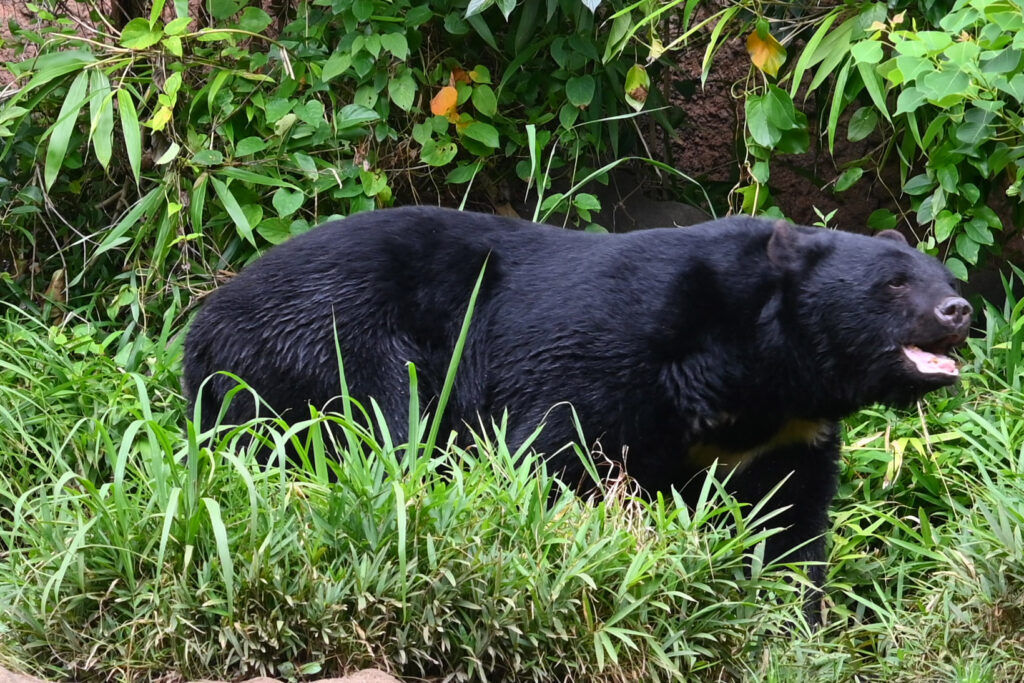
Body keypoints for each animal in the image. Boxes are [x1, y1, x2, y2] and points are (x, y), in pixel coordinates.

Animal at [183, 205, 972, 623]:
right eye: (893, 284)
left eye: (944, 276)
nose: (959, 311)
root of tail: (202, 327)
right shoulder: (608, 352)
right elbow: (553, 452)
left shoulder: (789, 434)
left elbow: (788, 525)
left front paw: (791, 618)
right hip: (336, 340)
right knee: (387, 422)